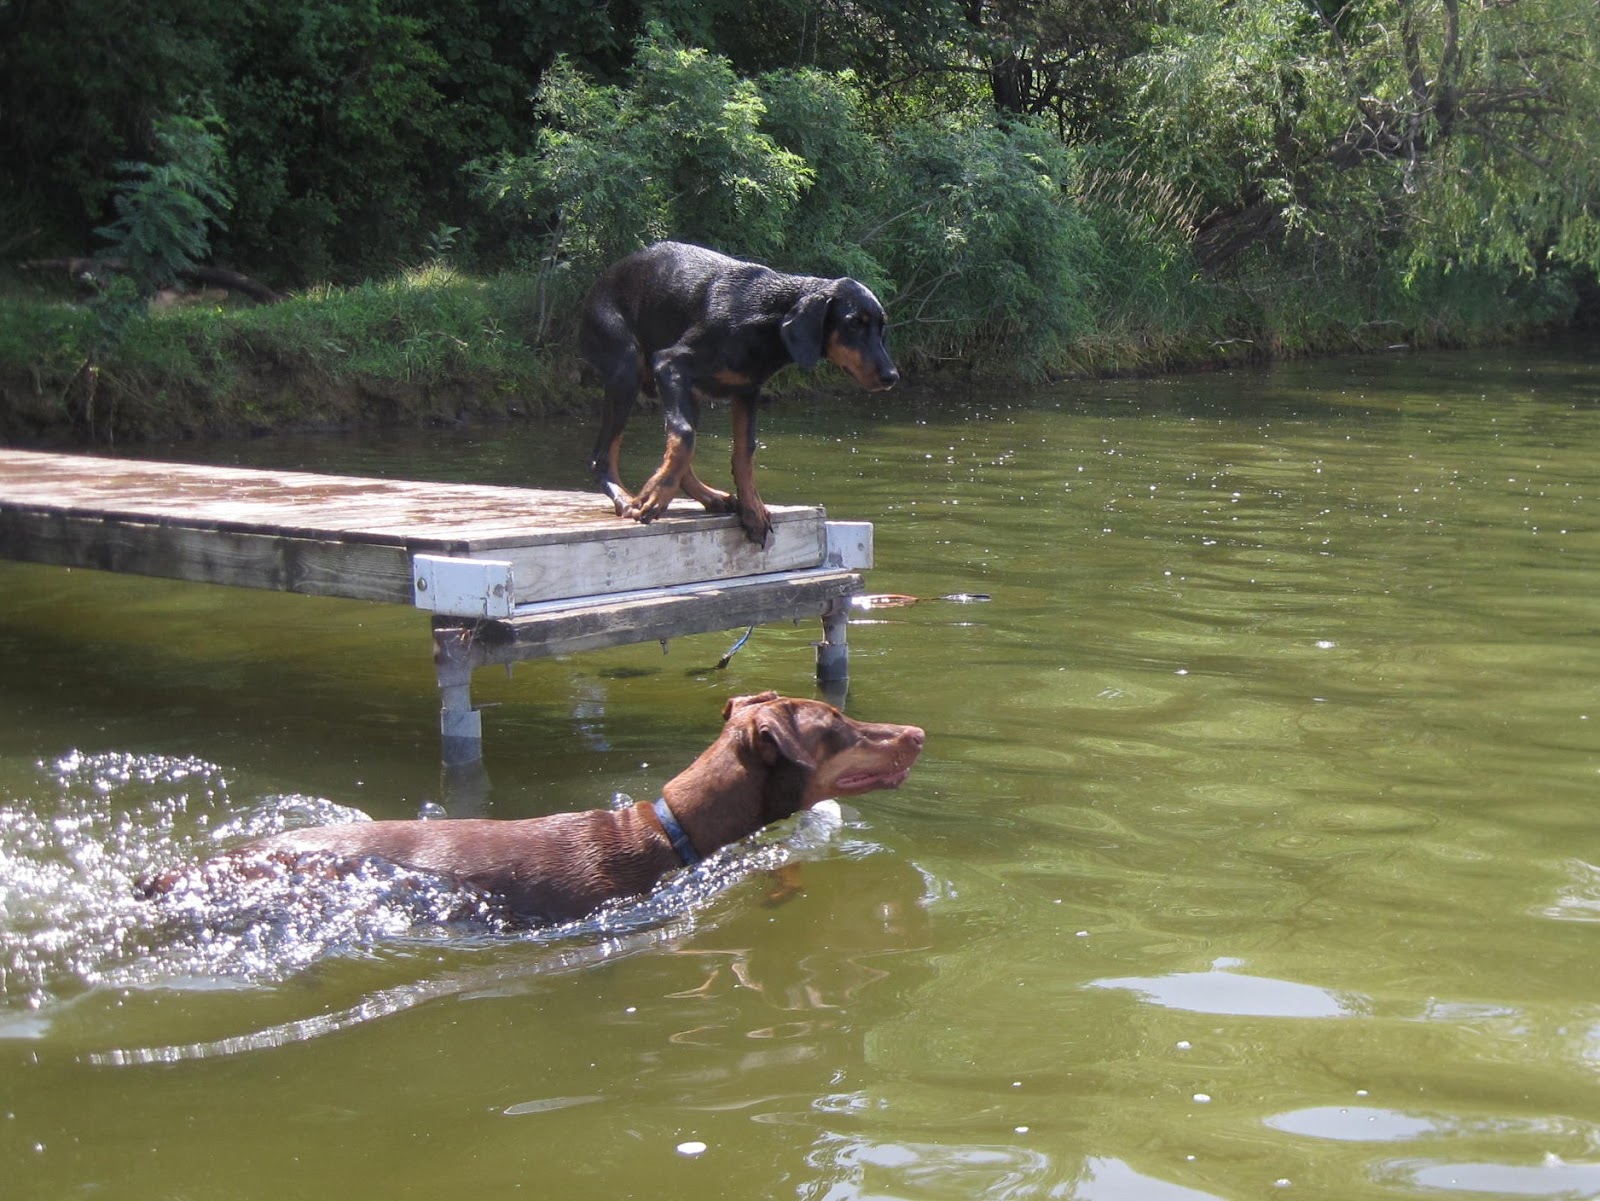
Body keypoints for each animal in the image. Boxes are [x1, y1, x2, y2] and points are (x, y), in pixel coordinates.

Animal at [580, 241, 900, 547]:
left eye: (881, 326)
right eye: (854, 323)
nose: (891, 376)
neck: (764, 322)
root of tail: (598, 285)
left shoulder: (747, 391)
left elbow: (744, 450)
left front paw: (752, 510)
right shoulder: (669, 364)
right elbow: (684, 436)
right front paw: (654, 496)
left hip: (686, 393)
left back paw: (709, 496)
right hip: (627, 370)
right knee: (601, 456)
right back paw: (626, 499)